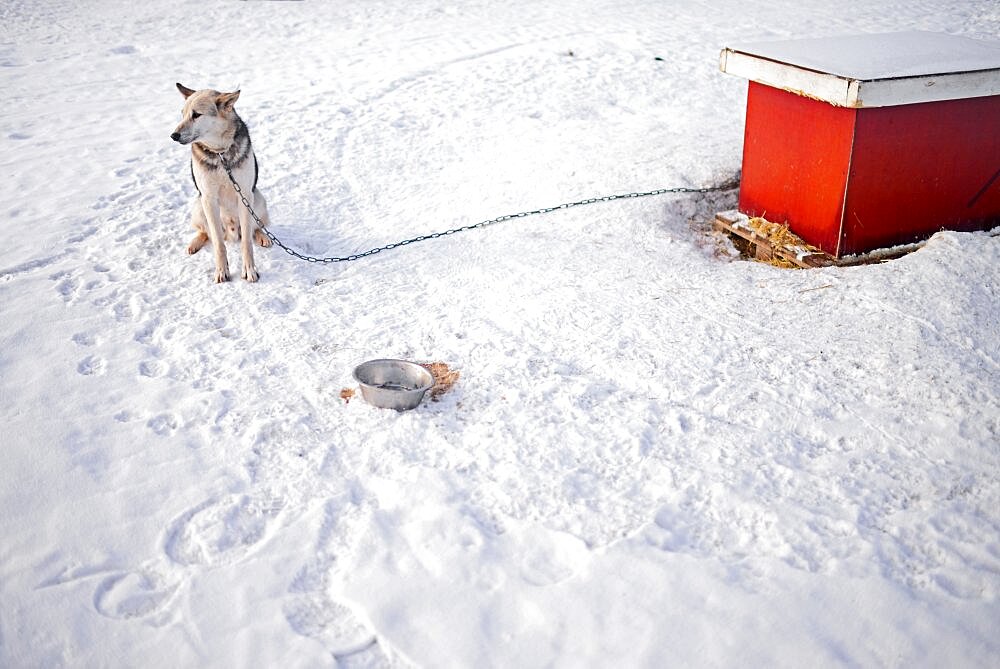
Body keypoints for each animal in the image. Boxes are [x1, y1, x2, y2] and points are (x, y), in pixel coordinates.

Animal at [171, 83, 272, 282]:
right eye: (182, 113)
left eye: (196, 115)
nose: (173, 135)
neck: (220, 153)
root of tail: (231, 232)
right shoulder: (209, 199)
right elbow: (218, 243)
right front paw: (221, 271)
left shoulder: (244, 196)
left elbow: (246, 242)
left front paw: (249, 269)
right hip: (199, 205)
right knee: (205, 232)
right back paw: (194, 244)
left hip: (257, 198)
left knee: (255, 227)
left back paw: (263, 237)